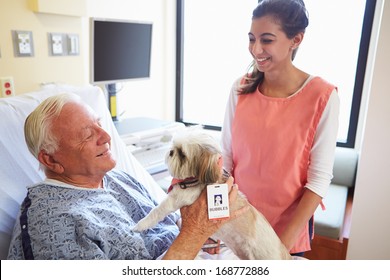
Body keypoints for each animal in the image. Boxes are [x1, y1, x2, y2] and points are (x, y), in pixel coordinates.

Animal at [133, 131, 290, 260]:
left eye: (182, 154)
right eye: (173, 146)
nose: (171, 151)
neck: (195, 180)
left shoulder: (176, 199)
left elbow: (156, 211)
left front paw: (140, 225)